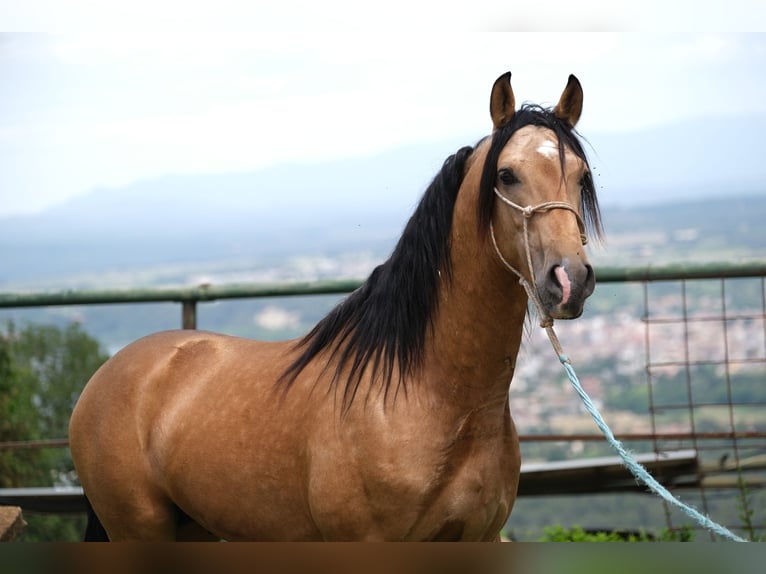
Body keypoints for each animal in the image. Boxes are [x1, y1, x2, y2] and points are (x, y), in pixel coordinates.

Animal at [69, 70, 604, 544]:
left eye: (581, 177)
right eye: (506, 174)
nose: (569, 280)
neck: (431, 396)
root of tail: (108, 374)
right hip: (138, 530)